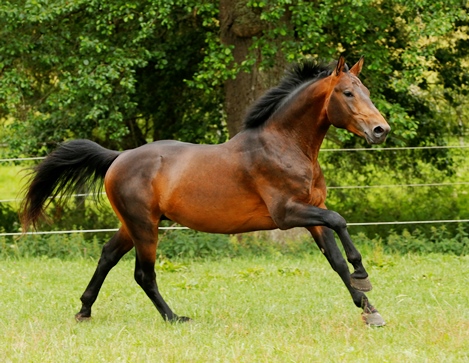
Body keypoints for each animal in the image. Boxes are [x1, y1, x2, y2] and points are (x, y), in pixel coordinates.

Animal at [21, 56, 388, 328]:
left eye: (366, 90)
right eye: (347, 93)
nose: (380, 130)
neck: (284, 145)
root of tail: (118, 157)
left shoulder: (311, 213)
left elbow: (336, 261)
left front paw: (369, 308)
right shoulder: (288, 213)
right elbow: (339, 221)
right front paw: (363, 275)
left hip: (132, 225)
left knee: (107, 257)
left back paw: (84, 310)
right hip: (144, 227)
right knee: (143, 274)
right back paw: (174, 317)